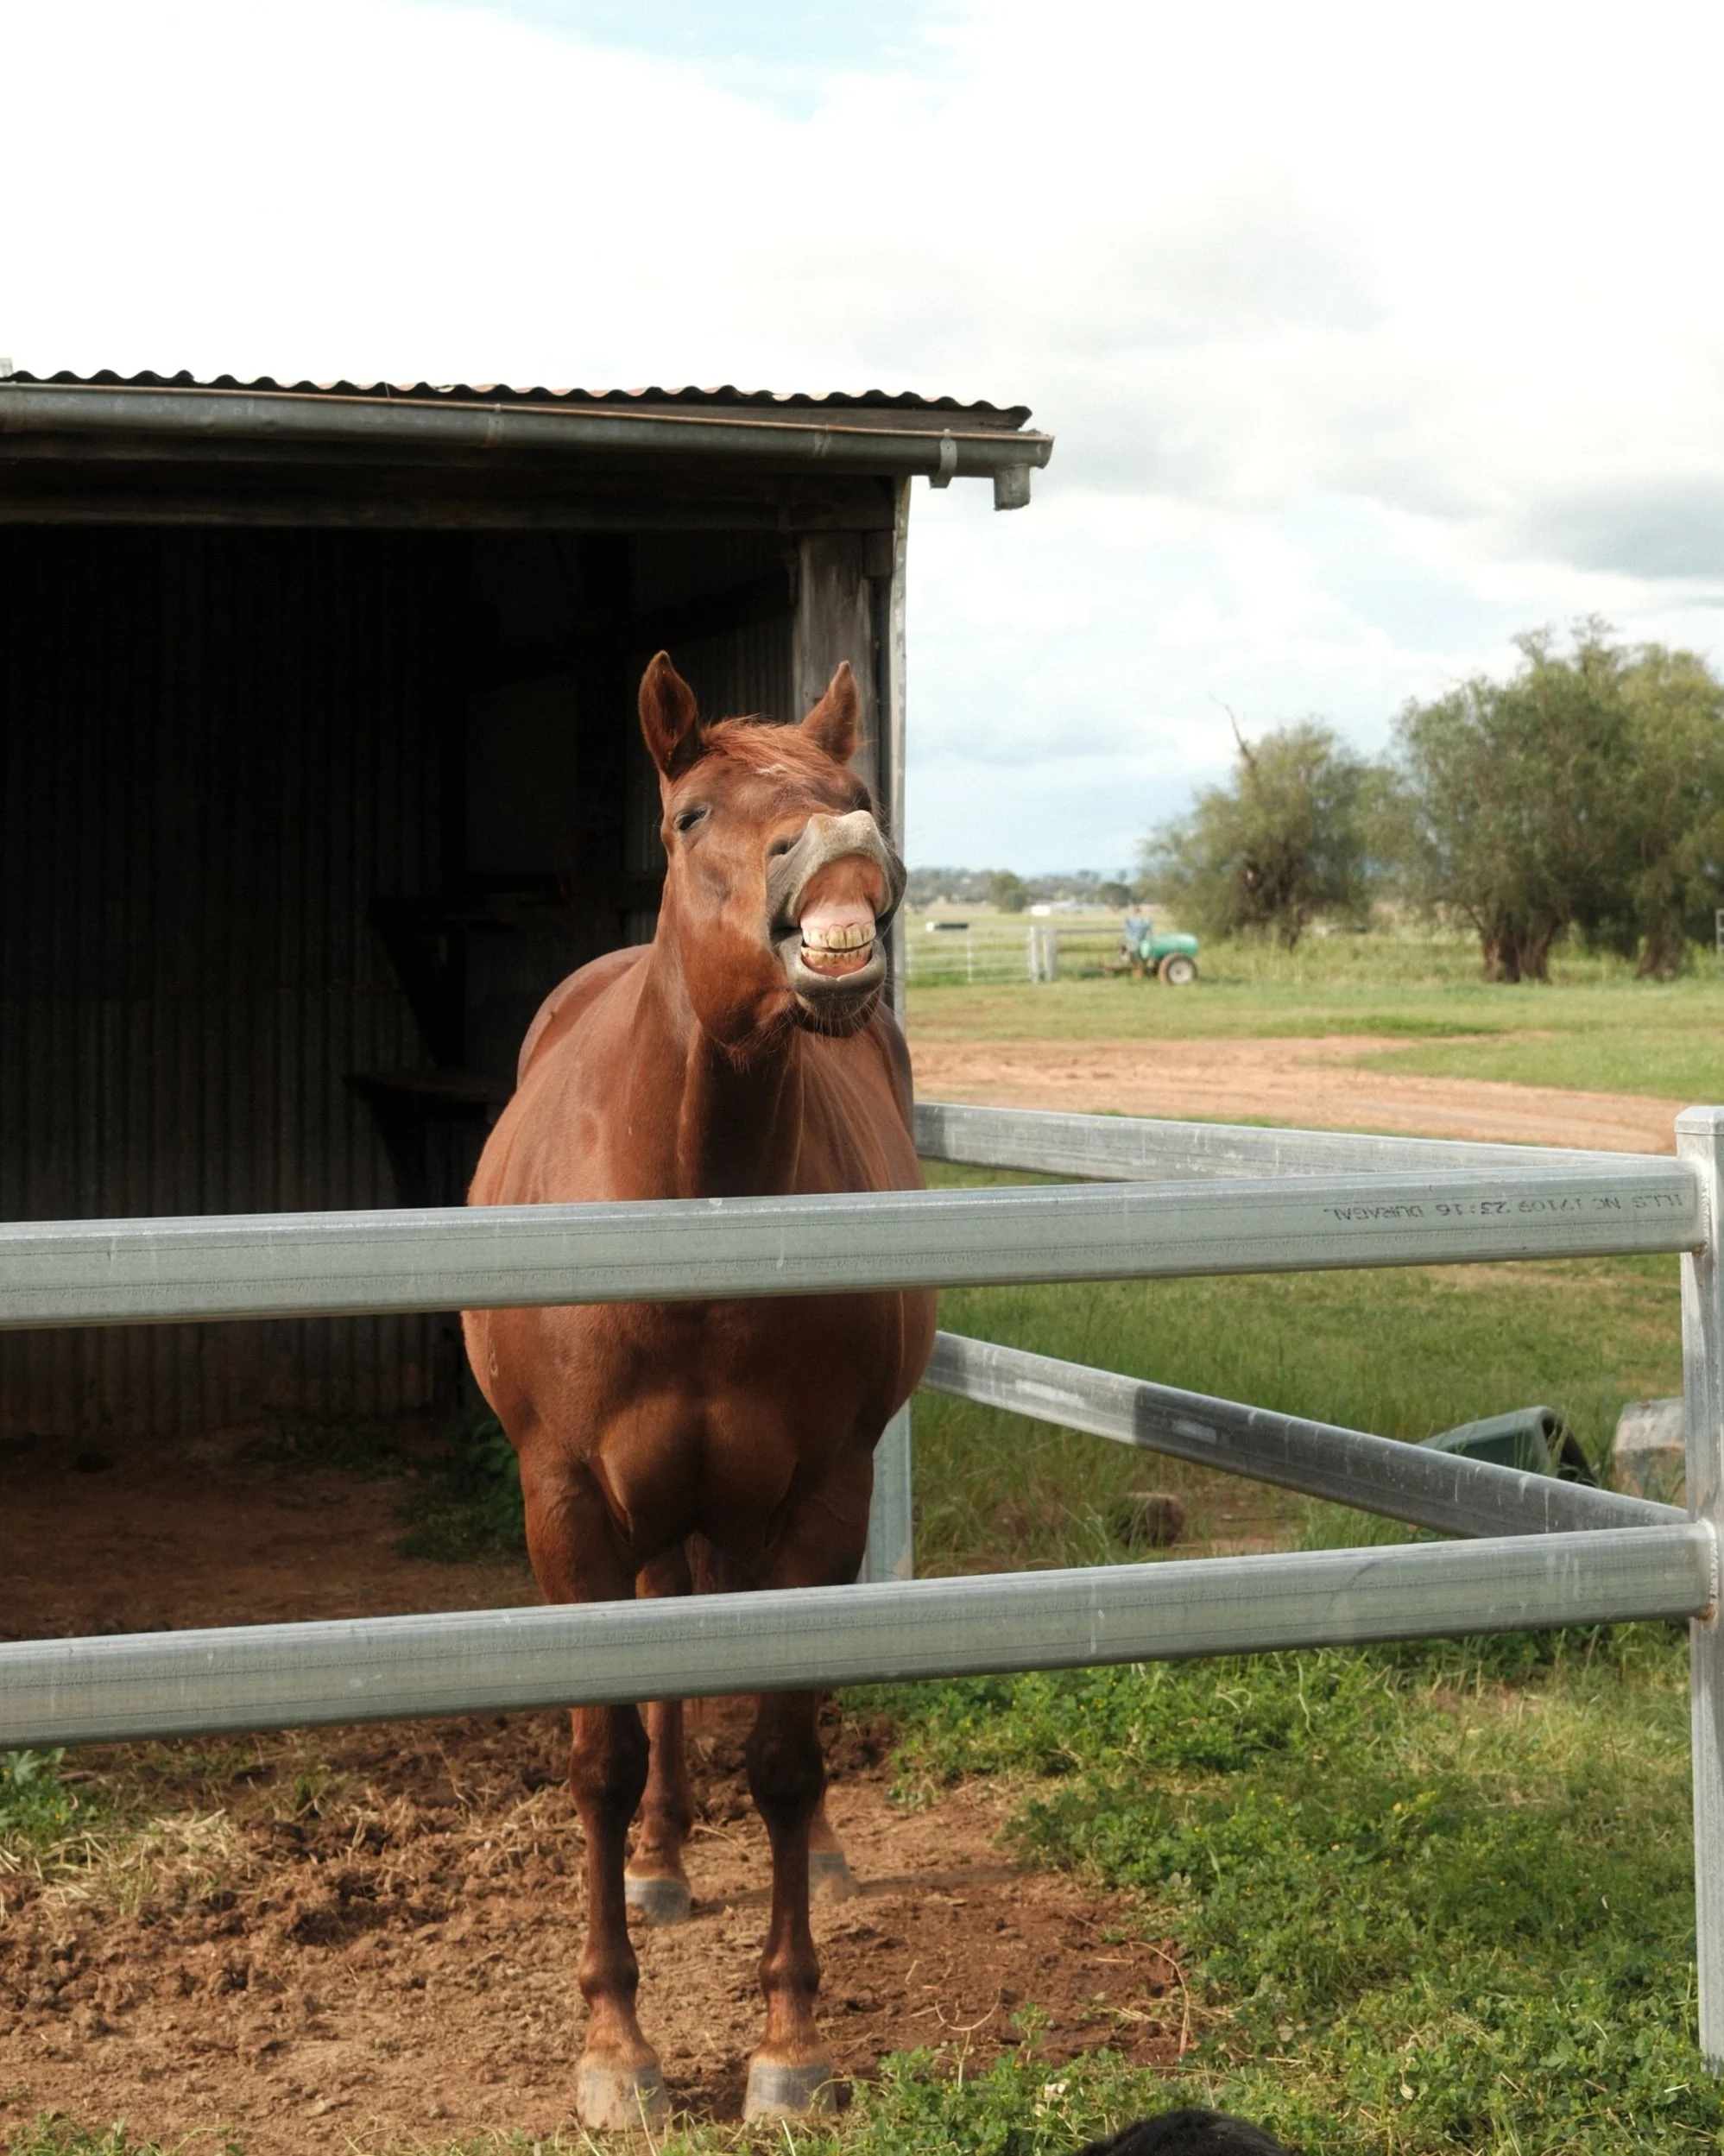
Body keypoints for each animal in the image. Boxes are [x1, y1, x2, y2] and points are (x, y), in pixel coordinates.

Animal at [463, 651, 937, 2130]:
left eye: (851, 791)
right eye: (691, 815)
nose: (842, 853)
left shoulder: (823, 1492)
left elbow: (784, 1747)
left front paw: (788, 2043)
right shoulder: (565, 1499)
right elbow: (603, 1758)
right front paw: (616, 2049)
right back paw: (662, 1862)